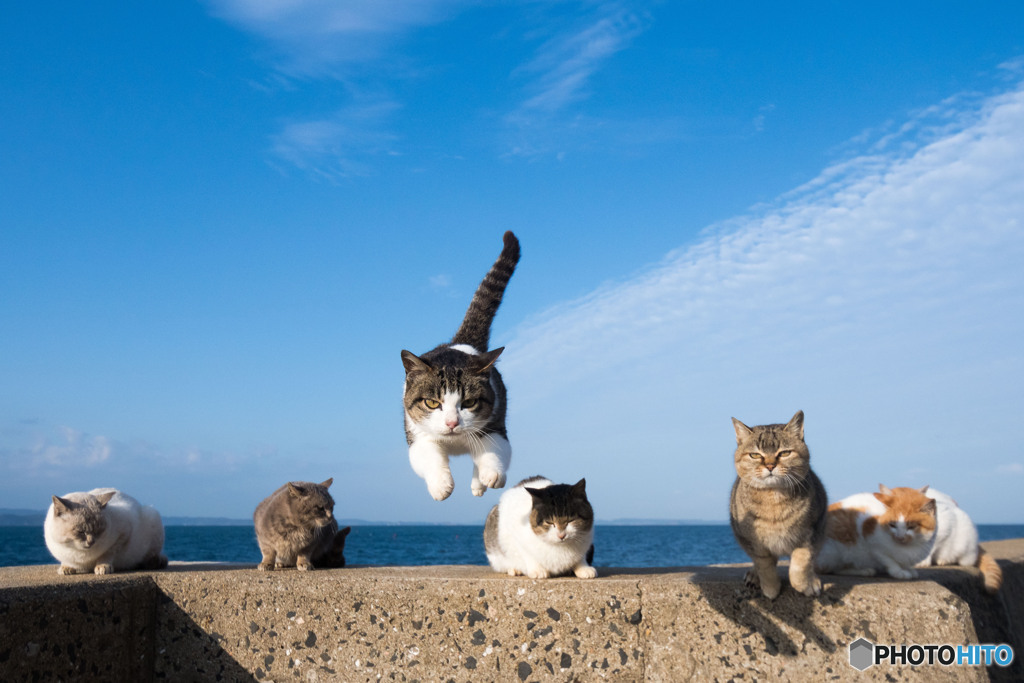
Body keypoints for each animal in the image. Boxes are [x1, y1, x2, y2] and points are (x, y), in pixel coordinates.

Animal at [399, 232, 520, 499]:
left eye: (470, 402)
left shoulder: (495, 425)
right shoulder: (417, 433)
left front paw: (491, 474)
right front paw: (441, 484)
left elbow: (496, 449)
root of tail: (461, 342)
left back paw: (478, 483)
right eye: (432, 403)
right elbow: (427, 455)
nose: (452, 423)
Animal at [729, 411, 831, 598]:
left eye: (784, 453)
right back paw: (754, 576)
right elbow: (764, 564)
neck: (773, 498)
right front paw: (770, 587)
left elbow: (801, 562)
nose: (770, 465)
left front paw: (804, 584)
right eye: (755, 455)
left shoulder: (811, 531)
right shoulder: (754, 541)